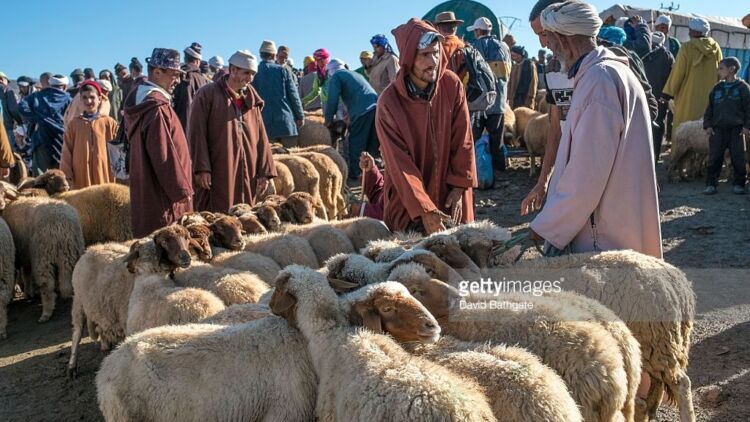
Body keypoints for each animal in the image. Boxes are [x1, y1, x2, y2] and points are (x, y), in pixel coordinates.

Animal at [68, 226, 195, 378]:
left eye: (187, 238)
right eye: (164, 241)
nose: (185, 257)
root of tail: (92, 248)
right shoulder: (126, 316)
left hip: (101, 306)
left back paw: (105, 347)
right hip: (78, 301)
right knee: (77, 332)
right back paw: (72, 366)